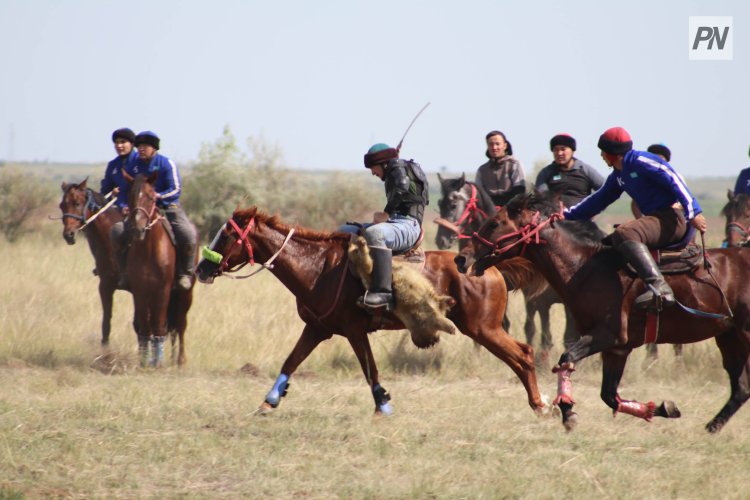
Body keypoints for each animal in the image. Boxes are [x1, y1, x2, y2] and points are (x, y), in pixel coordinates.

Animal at [125, 173, 194, 368]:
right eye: (130, 196)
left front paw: (158, 361)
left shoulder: (162, 290)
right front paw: (144, 360)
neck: (149, 249)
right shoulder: (140, 291)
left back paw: (180, 360)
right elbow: (145, 326)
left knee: (180, 325)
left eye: (150, 197)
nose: (137, 228)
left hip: (184, 295)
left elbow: (158, 325)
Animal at [194, 205, 548, 416]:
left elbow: (370, 370)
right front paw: (269, 401)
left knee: (523, 355)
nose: (200, 269)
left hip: (483, 329)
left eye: (227, 234)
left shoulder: (354, 331)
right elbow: (291, 361)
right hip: (485, 329)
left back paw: (541, 405)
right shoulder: (317, 329)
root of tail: (489, 268)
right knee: (523, 354)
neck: (318, 267)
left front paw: (383, 406)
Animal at [456, 191, 750, 434]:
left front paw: (567, 412)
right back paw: (712, 427)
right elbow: (609, 395)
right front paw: (659, 409)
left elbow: (567, 359)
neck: (586, 267)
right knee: (741, 388)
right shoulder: (617, 349)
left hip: (743, 336)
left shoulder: (607, 337)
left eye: (494, 223)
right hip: (728, 337)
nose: (462, 258)